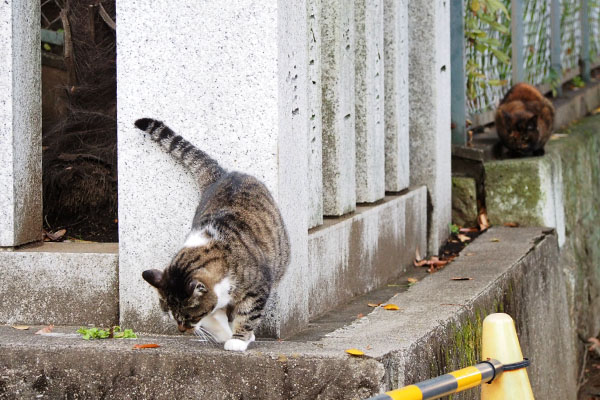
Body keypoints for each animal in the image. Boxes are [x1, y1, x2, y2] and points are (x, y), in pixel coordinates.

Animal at [135, 118, 290, 350]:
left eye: (188, 317)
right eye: (172, 316)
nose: (182, 330)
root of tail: (223, 174)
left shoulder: (257, 289)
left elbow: (247, 314)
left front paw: (238, 340)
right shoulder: (215, 303)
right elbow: (216, 318)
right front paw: (225, 334)